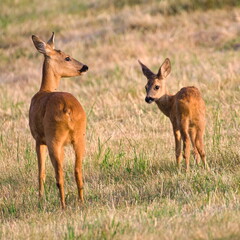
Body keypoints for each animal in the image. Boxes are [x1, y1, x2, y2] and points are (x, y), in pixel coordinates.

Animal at [29, 32, 88, 208]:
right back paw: (81, 201)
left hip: (54, 139)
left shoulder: (38, 139)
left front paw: (40, 197)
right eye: (67, 57)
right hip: (80, 137)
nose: (84, 67)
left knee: (59, 174)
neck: (44, 90)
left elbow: (41, 171)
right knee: (78, 170)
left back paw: (63, 205)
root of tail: (67, 109)